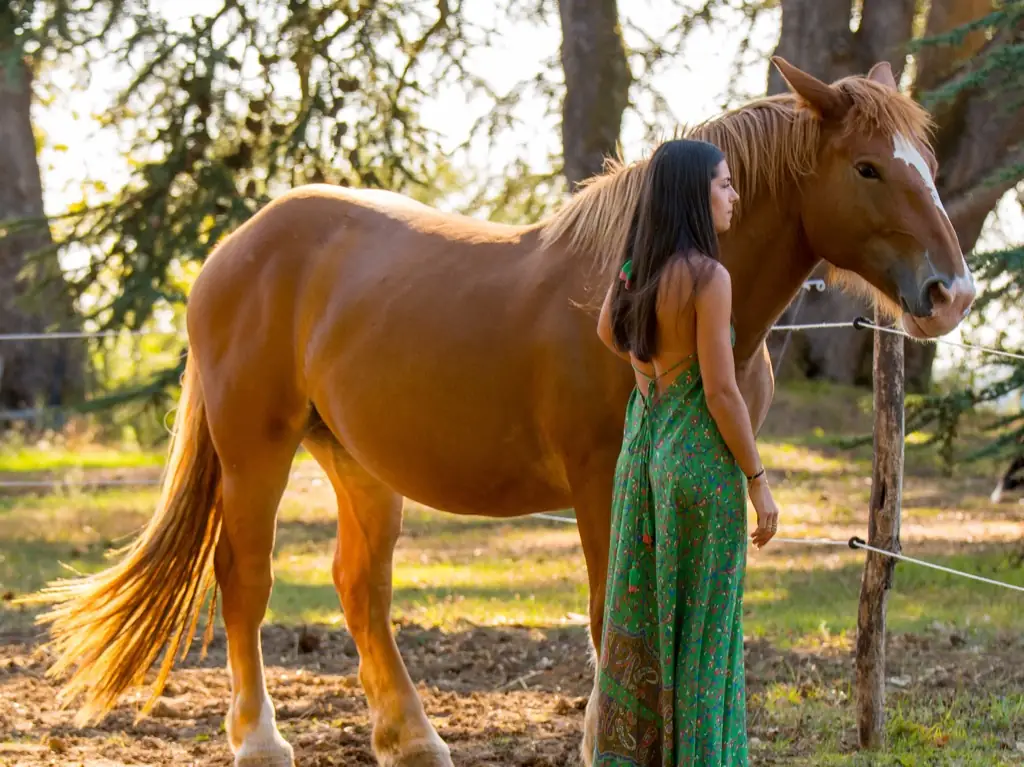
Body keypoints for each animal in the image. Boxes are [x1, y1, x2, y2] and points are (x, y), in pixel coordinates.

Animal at [27, 56, 974, 767]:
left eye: (925, 165)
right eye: (867, 166)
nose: (952, 293)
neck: (660, 262)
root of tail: (237, 248)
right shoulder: (598, 480)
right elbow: (605, 610)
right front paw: (602, 741)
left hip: (357, 462)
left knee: (361, 586)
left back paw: (412, 738)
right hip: (257, 446)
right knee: (245, 577)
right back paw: (261, 740)